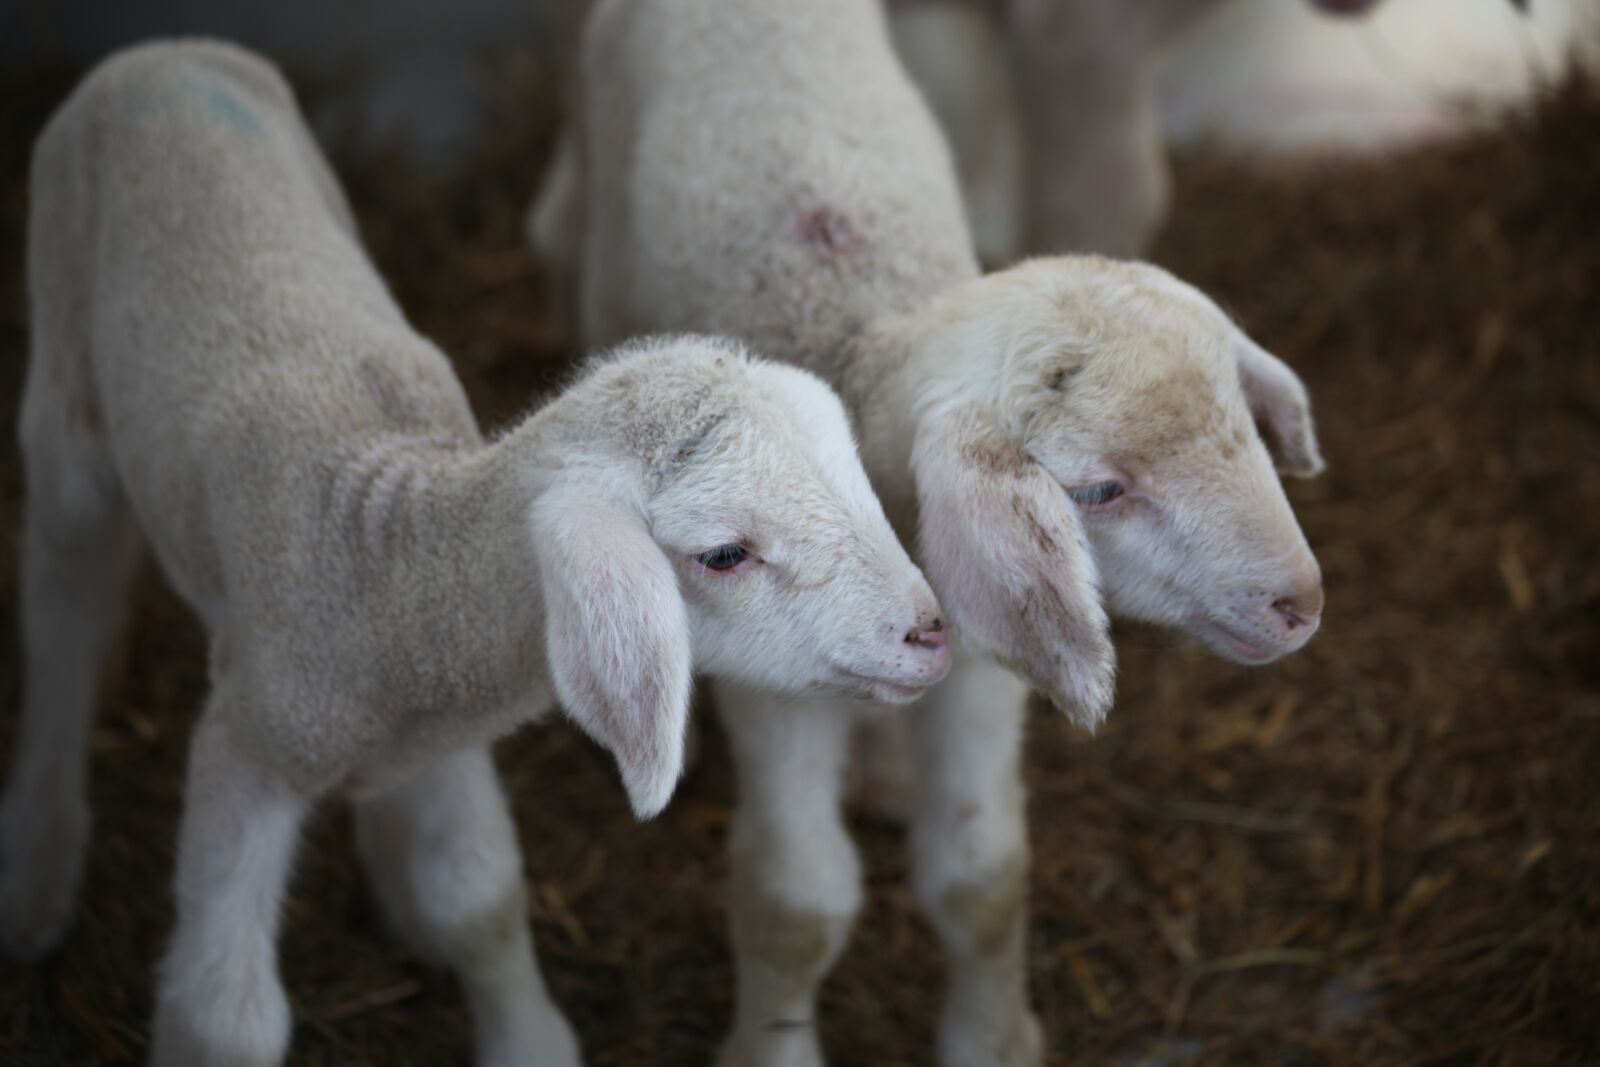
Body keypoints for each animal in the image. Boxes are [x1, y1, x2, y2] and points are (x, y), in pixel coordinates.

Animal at [0, 40, 953, 1067]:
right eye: (725, 554)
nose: (930, 632)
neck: (379, 561)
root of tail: (164, 52)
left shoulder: (446, 733)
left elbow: (481, 896)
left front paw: (517, 1027)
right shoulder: (247, 745)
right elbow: (224, 1018)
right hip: (64, 382)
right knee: (64, 608)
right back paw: (36, 874)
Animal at [549, 1, 1327, 1064]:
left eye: (1244, 422)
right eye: (1098, 489)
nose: (1302, 603)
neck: (856, 334)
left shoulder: (987, 664)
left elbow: (982, 875)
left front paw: (992, 1037)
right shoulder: (778, 687)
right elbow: (794, 906)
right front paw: (772, 1044)